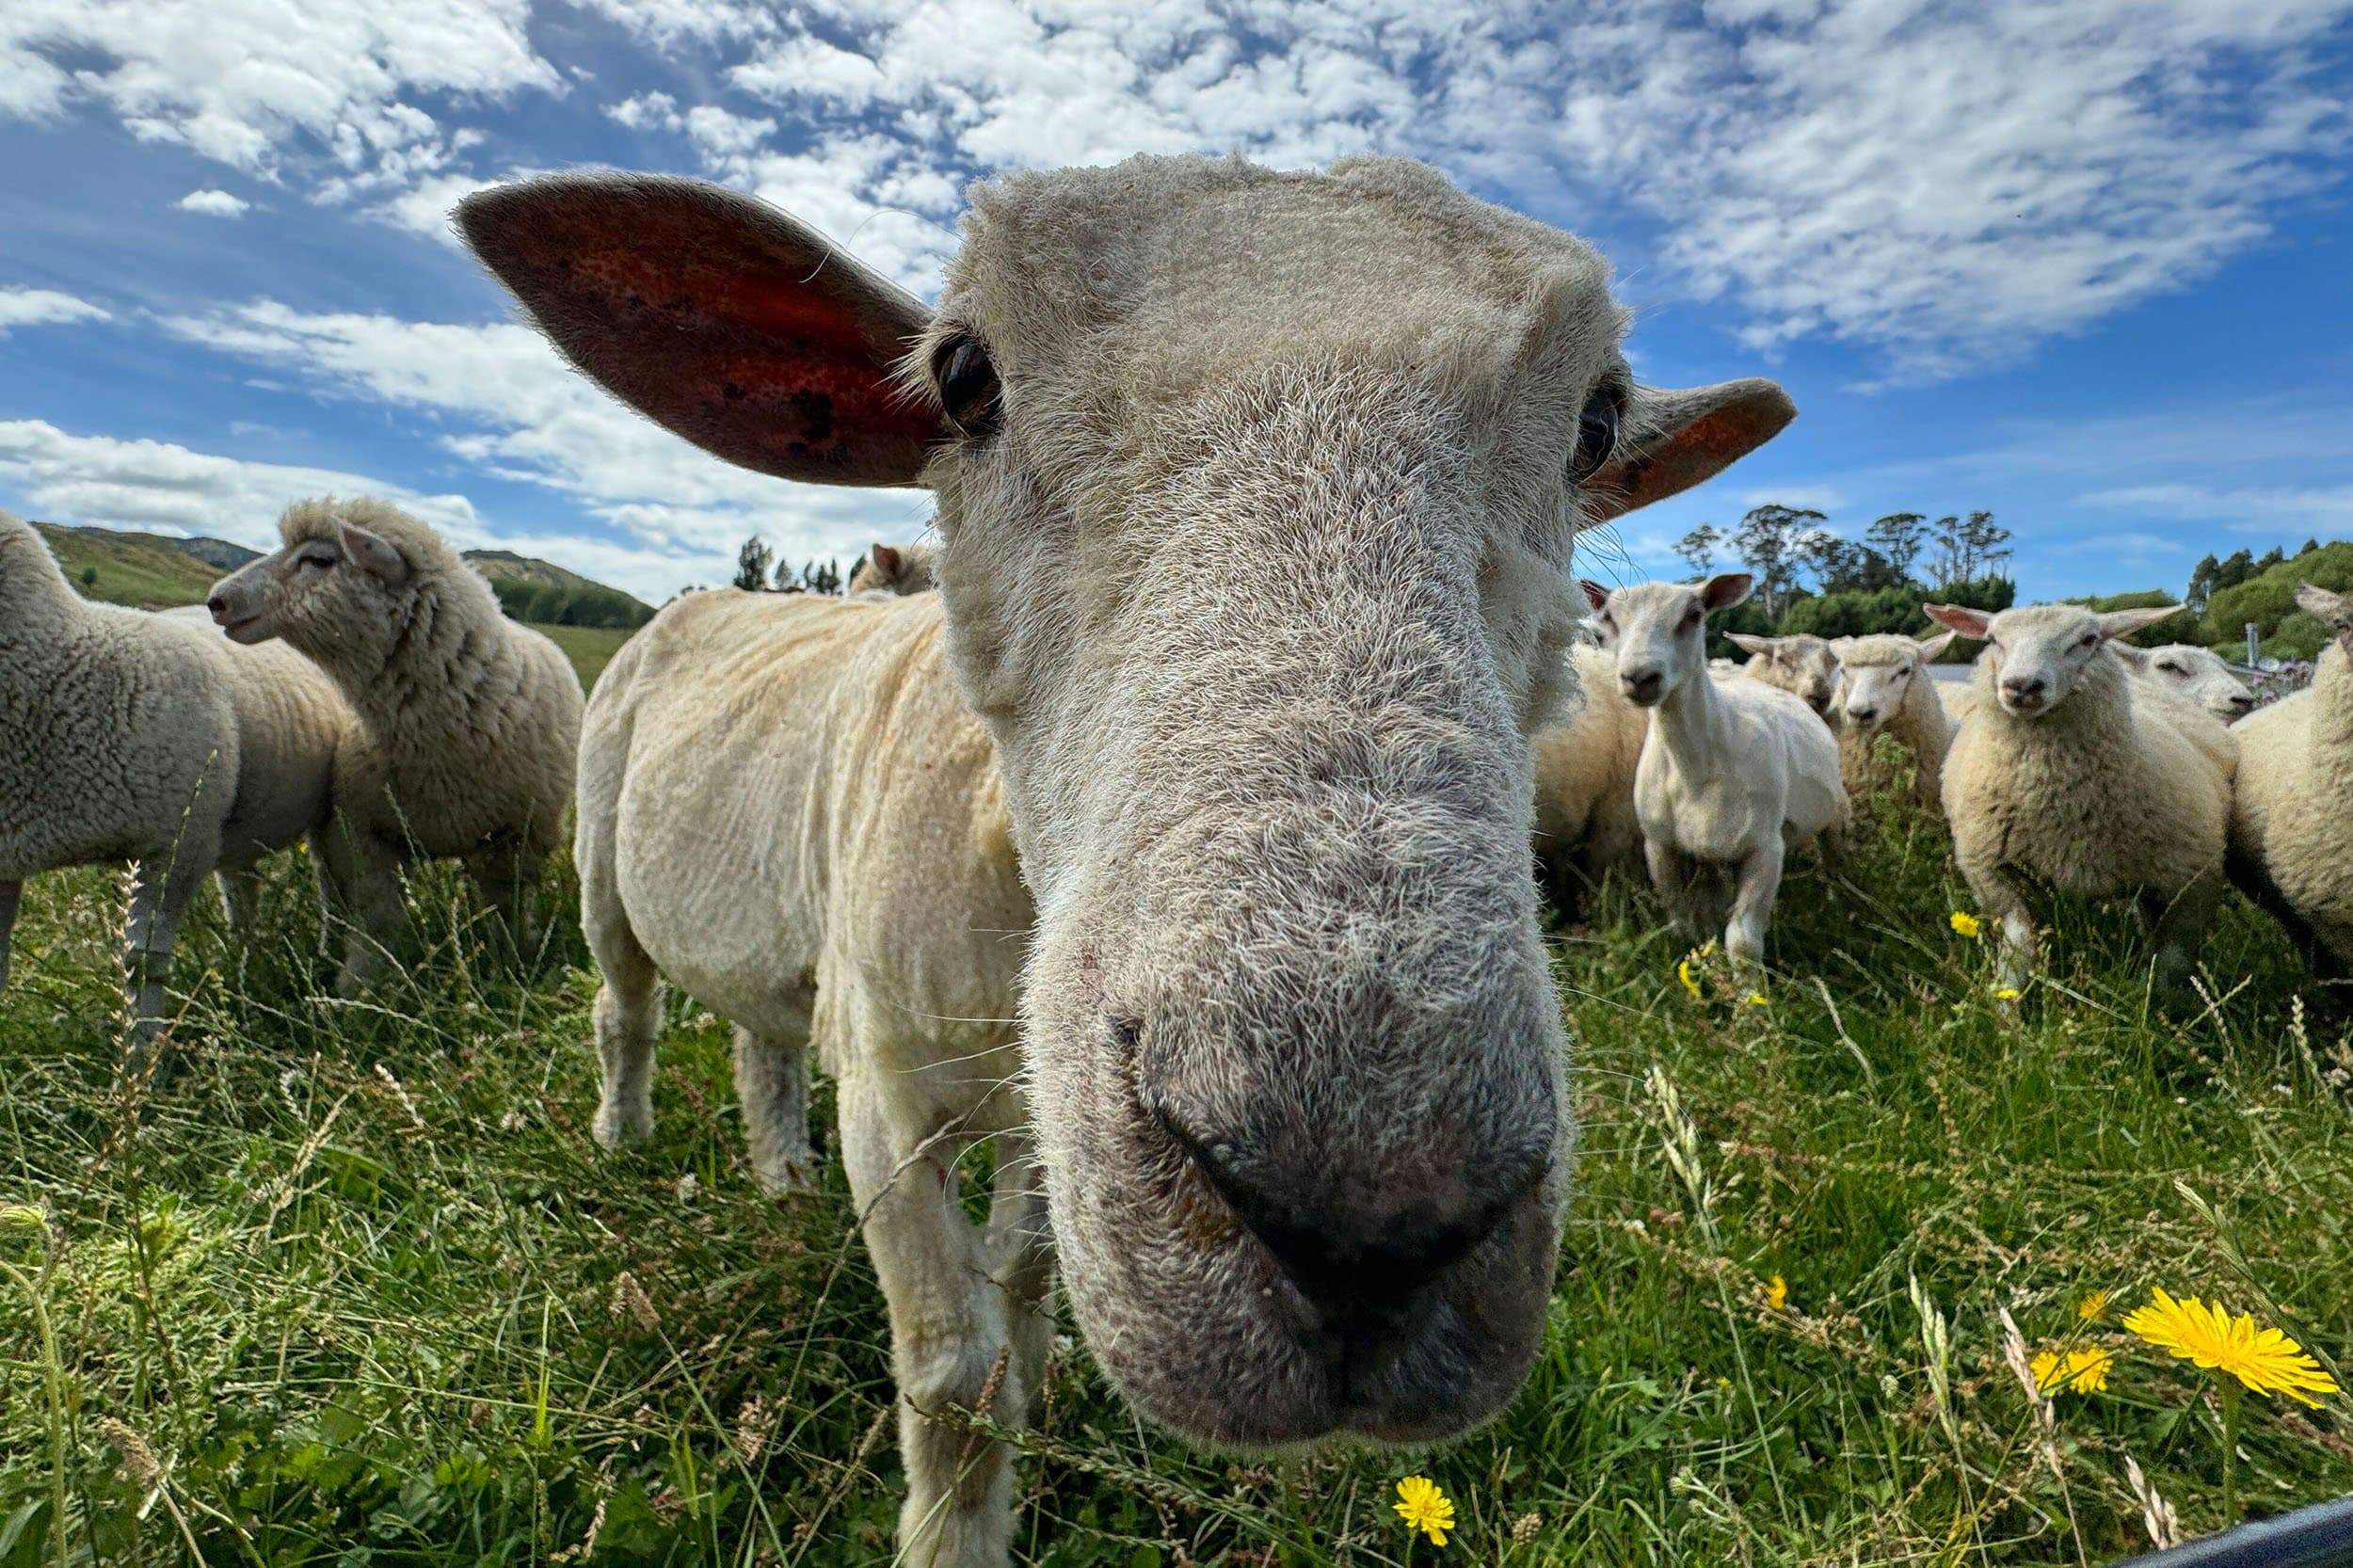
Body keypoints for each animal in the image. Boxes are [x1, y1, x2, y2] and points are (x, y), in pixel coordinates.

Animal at [1, 512, 351, 1042]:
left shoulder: (174, 849)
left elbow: (143, 967)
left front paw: (142, 1061)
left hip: (322, 812)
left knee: (333, 894)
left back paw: (327, 966)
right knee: (243, 901)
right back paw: (241, 976)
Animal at [207, 498, 585, 994]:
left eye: (319, 560)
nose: (216, 601)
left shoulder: (518, 837)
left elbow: (507, 908)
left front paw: (512, 966)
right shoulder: (363, 835)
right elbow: (379, 920)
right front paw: (360, 987)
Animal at [1588, 574, 1848, 963]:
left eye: (1693, 615)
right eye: (1608, 619)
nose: (1639, 677)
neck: (1697, 766)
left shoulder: (1765, 848)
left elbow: (1742, 942)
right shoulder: (1660, 846)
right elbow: (1683, 924)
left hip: (1836, 815)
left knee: (1837, 864)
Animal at [1924, 600, 2233, 996]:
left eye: (2088, 639)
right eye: (1993, 639)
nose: (2021, 686)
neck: (2057, 806)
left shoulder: (2190, 885)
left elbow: (2171, 964)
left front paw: (2166, 1005)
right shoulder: (1993, 874)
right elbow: (2018, 951)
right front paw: (2006, 1004)